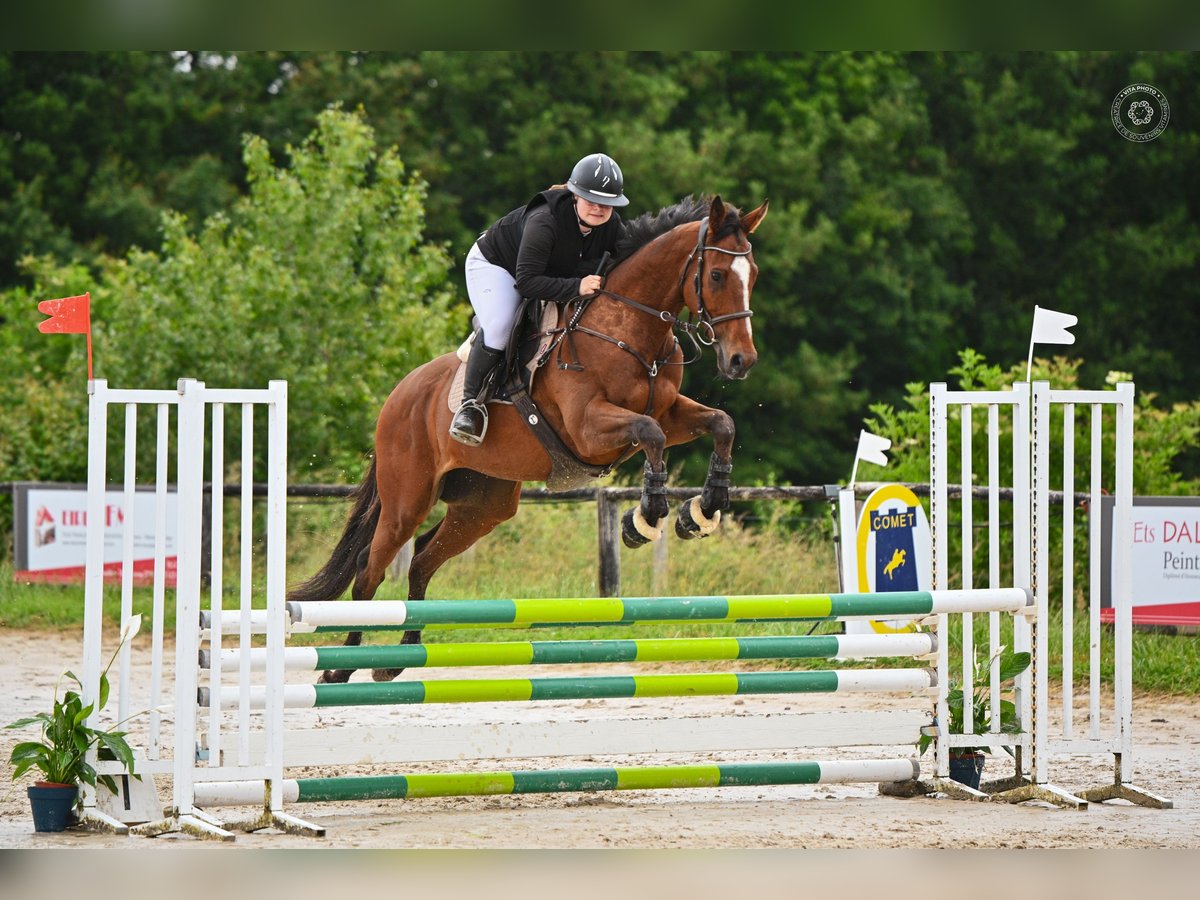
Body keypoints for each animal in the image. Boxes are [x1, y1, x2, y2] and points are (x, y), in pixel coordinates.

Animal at [290, 195, 768, 681]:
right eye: (716, 275)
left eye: (753, 275)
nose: (741, 361)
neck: (629, 331)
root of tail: (396, 397)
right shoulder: (589, 429)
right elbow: (649, 435)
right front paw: (644, 519)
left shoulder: (669, 414)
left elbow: (721, 424)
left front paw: (702, 511)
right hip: (407, 499)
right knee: (370, 569)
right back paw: (341, 670)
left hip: (484, 505)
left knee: (422, 557)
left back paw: (398, 659)